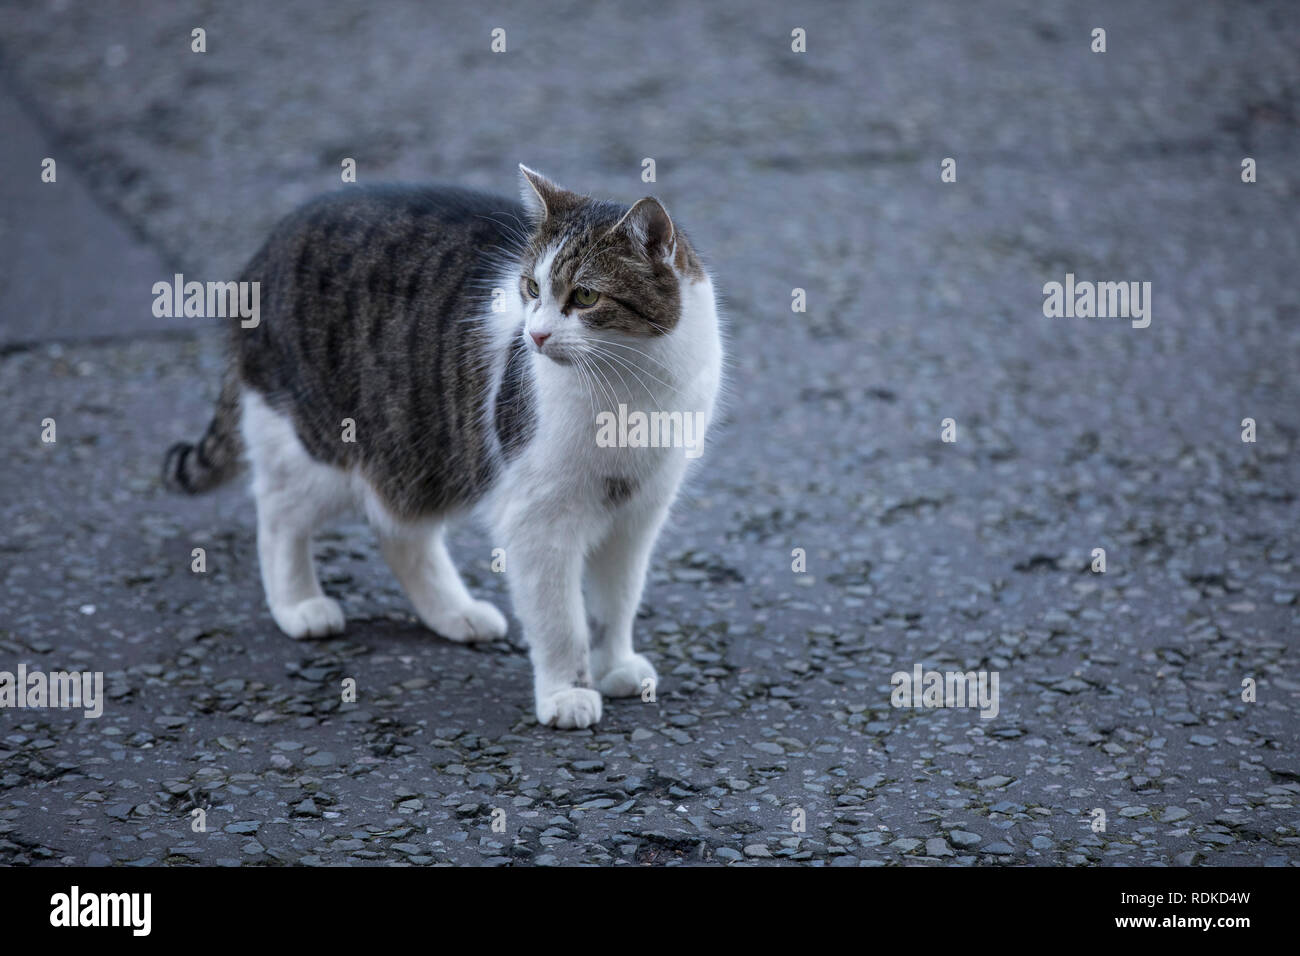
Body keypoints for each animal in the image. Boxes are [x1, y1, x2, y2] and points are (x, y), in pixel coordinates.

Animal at [162, 167, 722, 728]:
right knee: (279, 513)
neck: (629, 390)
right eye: (532, 288)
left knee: (399, 529)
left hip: (417, 447)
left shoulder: (637, 513)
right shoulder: (539, 518)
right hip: (316, 444)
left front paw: (614, 667)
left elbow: (617, 603)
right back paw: (299, 605)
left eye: (584, 296)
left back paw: (455, 613)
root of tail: (271, 244)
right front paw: (568, 692)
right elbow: (561, 619)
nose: (535, 336)